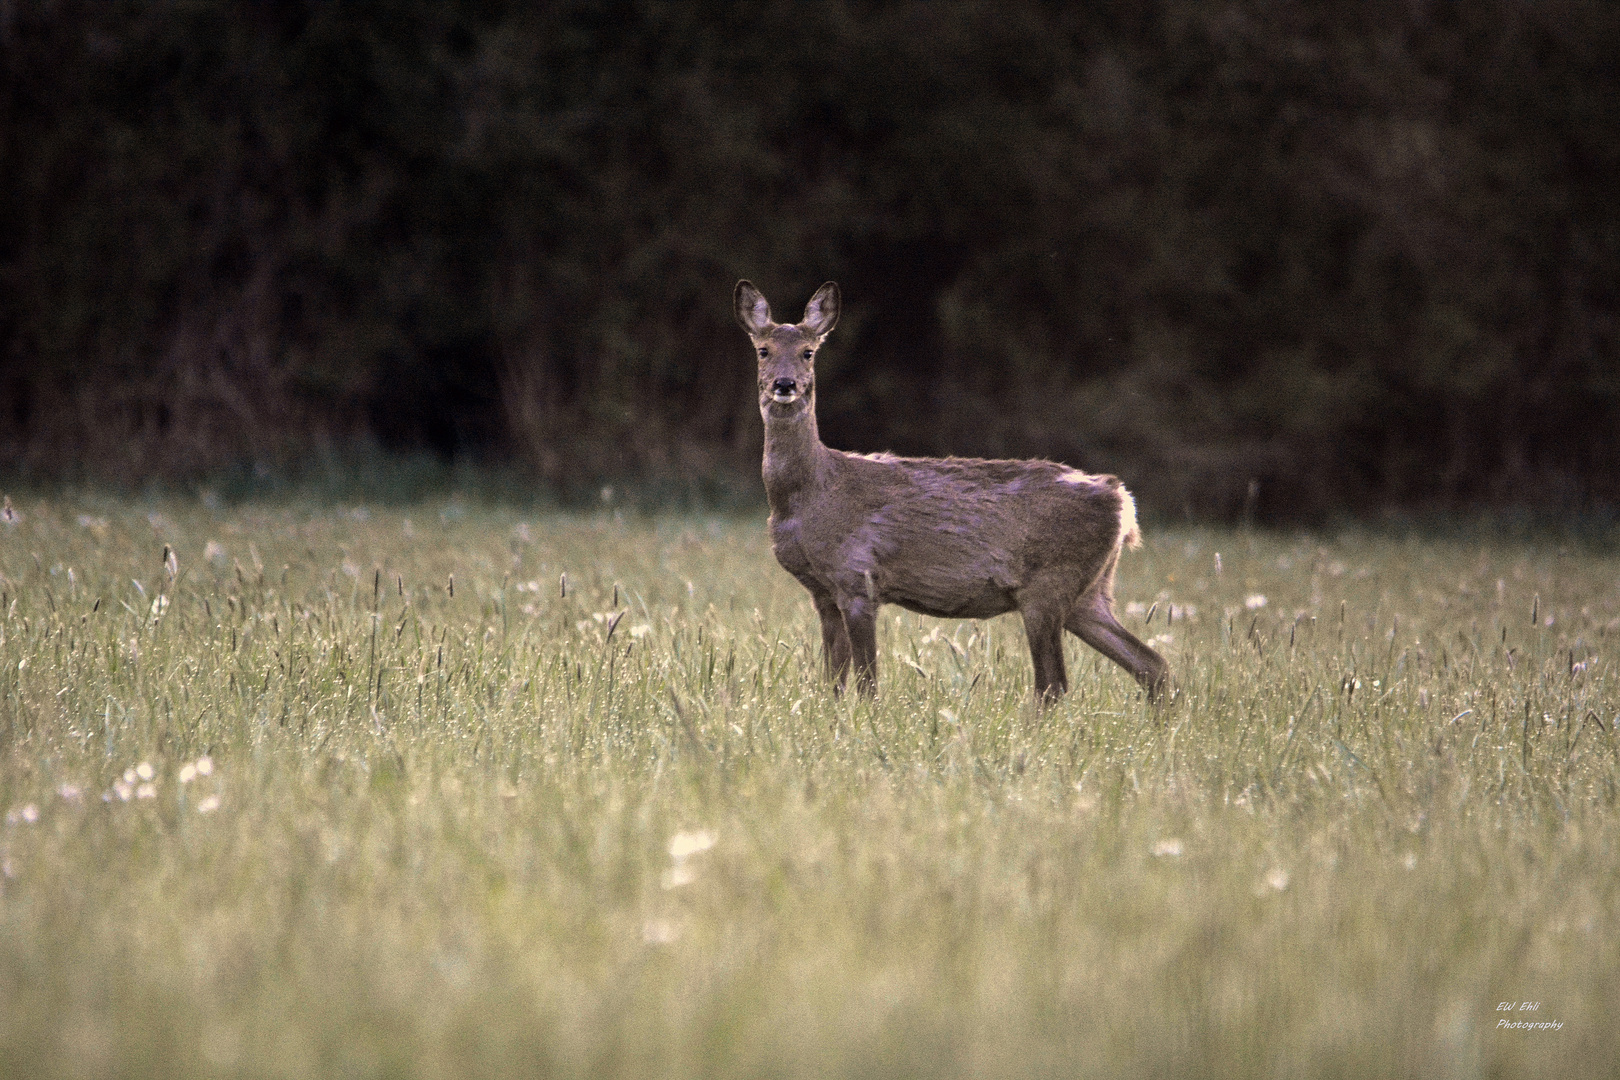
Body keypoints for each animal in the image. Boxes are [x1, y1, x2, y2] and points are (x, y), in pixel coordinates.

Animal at [741, 278, 1172, 705]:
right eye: (763, 350)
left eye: (808, 351)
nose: (785, 384)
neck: (811, 493)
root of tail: (1122, 502)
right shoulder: (823, 592)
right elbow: (833, 683)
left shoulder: (858, 577)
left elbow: (866, 684)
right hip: (1090, 593)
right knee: (1152, 665)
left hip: (1050, 584)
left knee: (1053, 685)